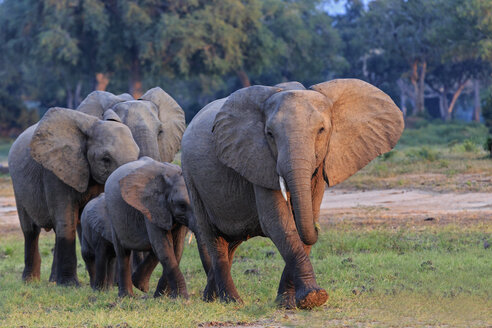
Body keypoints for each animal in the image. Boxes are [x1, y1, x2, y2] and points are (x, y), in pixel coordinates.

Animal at [9, 107, 140, 284]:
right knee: (31, 230)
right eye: (105, 159)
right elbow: (67, 220)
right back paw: (31, 281)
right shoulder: (55, 172)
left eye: (138, 155)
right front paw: (70, 285)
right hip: (17, 185)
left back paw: (53, 281)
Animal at [100, 156, 192, 298]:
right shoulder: (150, 207)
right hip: (113, 216)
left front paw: (162, 296)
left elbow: (177, 248)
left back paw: (140, 286)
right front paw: (181, 298)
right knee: (122, 253)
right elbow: (163, 246)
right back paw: (127, 296)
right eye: (182, 205)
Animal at [181, 79, 404, 308]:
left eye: (321, 130)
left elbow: (303, 219)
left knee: (231, 242)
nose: (318, 227)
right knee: (213, 238)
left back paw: (210, 298)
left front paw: (289, 303)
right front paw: (314, 298)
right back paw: (232, 301)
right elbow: (278, 223)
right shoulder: (257, 159)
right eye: (269, 134)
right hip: (191, 178)